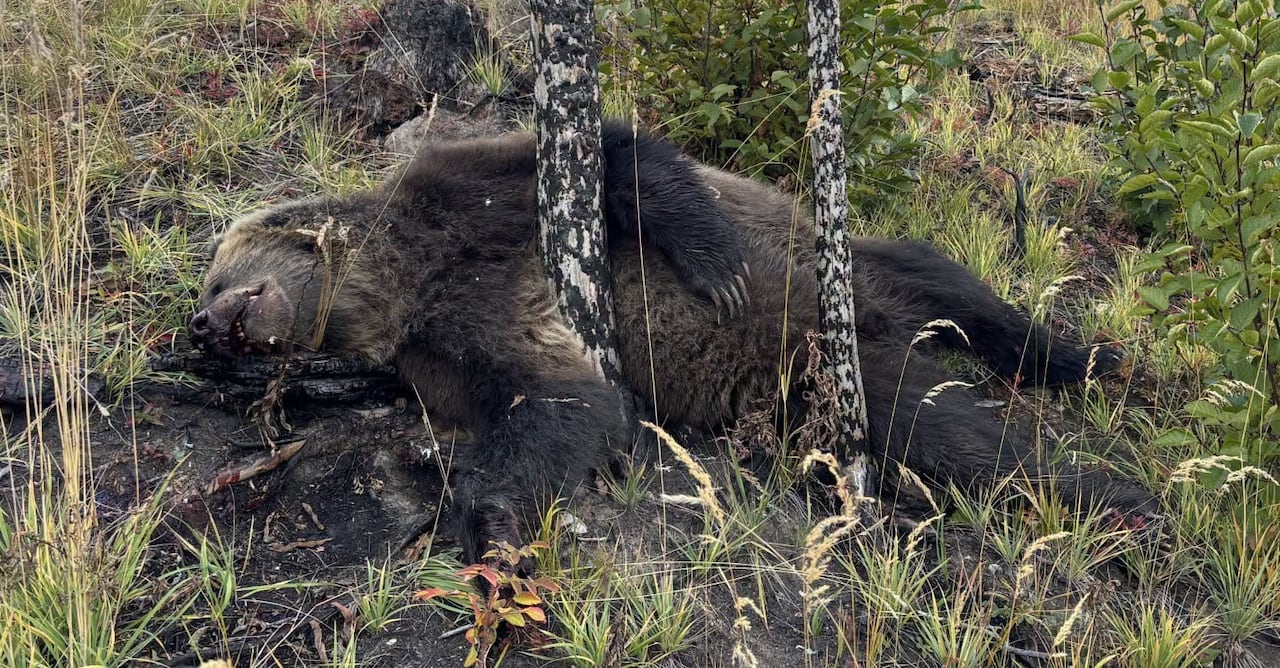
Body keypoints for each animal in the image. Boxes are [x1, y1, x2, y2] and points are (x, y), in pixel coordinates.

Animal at [190, 122, 1158, 566]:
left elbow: (627, 160)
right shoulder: (452, 348)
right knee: (929, 395)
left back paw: (1104, 432)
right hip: (806, 360)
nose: (202, 330)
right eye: (201, 300)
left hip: (828, 282)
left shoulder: (466, 194)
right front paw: (492, 519)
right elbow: (564, 403)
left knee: (950, 342)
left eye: (209, 276)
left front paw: (712, 259)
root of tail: (871, 316)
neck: (402, 277)